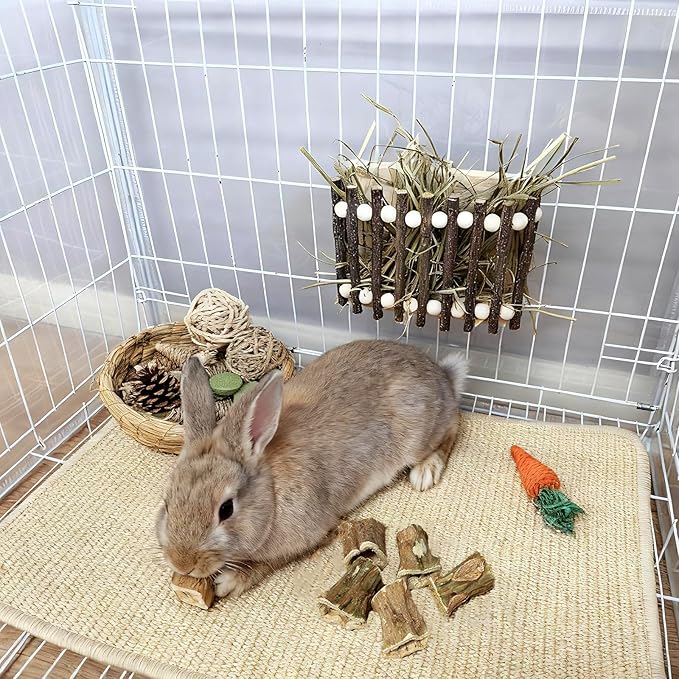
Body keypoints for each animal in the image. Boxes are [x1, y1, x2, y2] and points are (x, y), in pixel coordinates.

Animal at [156, 339, 466, 599]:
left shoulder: (313, 534)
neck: (271, 495)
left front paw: (230, 581)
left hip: (420, 435)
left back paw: (425, 472)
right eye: (167, 503)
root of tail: (442, 375)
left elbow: (269, 562)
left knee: (453, 426)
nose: (183, 563)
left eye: (226, 509)